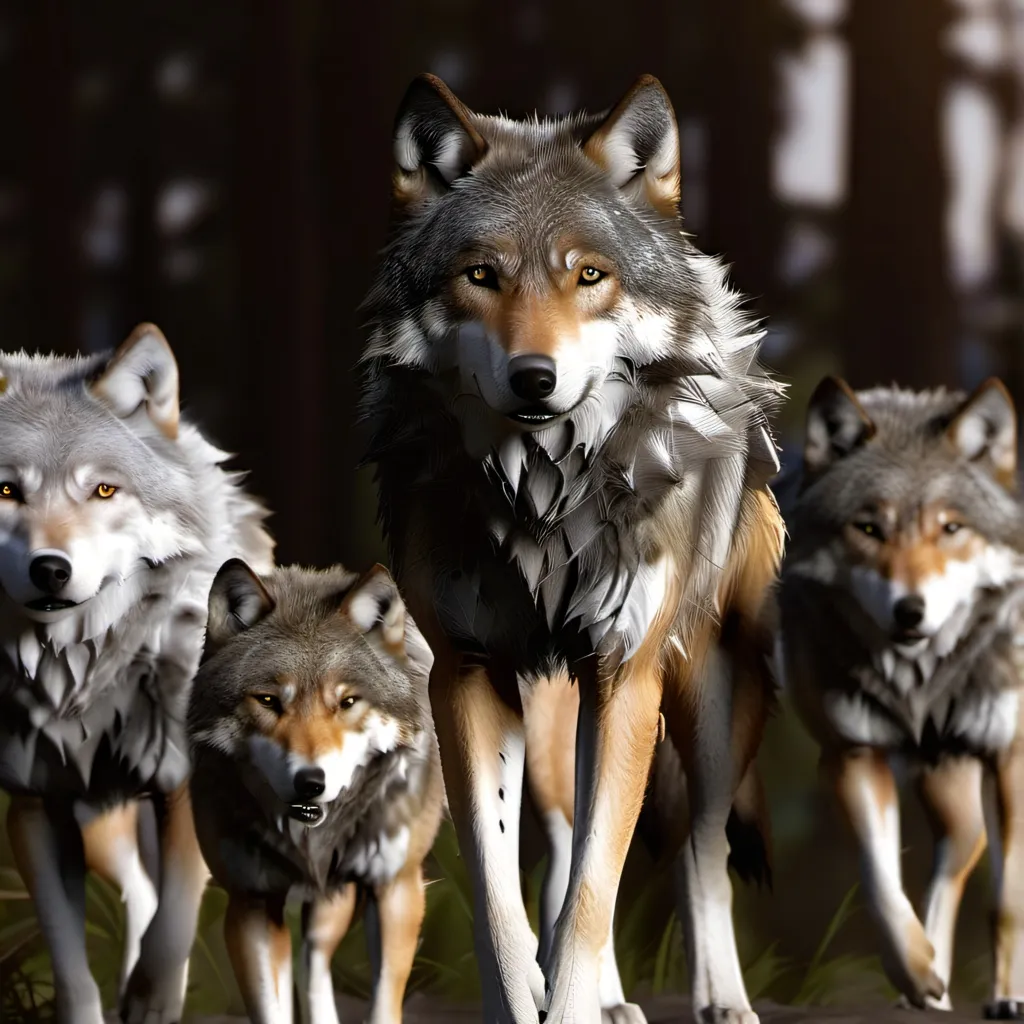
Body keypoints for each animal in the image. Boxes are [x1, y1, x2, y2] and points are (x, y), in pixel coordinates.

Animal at [0, 324, 275, 1024]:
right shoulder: (35, 806)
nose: (50, 569)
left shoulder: (185, 783)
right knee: (137, 891)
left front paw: (153, 998)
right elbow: (70, 959)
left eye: (103, 490)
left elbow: (174, 923)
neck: (83, 673)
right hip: (101, 826)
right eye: (7, 491)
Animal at [186, 560, 443, 1024]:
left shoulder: (396, 886)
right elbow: (270, 1008)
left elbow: (383, 1004)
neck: (312, 843)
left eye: (347, 702)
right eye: (268, 700)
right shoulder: (251, 902)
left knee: (317, 959)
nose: (310, 781)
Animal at [359, 72, 784, 1024]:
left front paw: (572, 997)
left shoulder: (625, 672)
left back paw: (720, 997)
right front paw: (525, 996)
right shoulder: (467, 673)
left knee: (696, 847)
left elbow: (600, 882)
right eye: (482, 276)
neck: (543, 499)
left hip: (703, 706)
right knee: (559, 840)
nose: (534, 378)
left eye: (589, 276)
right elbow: (500, 883)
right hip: (553, 719)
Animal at [777, 376, 1024, 1017]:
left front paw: (1009, 997)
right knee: (958, 852)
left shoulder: (1010, 758)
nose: (910, 610)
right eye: (869, 529)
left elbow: (1006, 901)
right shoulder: (851, 753)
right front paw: (913, 972)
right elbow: (879, 880)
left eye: (950, 528)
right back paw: (931, 988)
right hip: (940, 778)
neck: (922, 681)